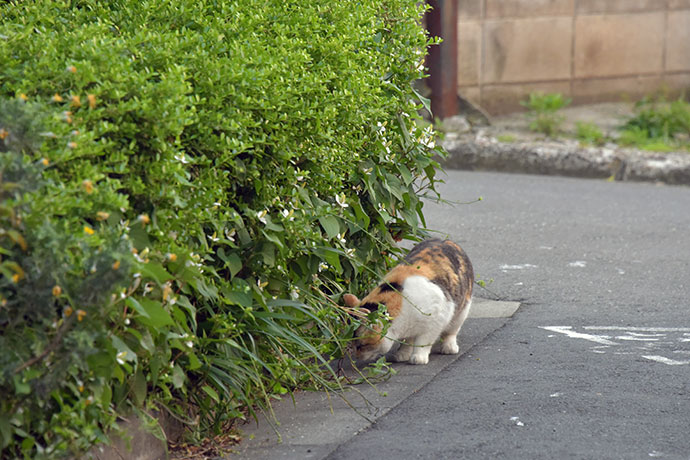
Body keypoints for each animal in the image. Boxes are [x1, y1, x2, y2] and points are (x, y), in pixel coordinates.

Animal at [342, 239, 470, 364]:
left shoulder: (437, 318)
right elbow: (407, 341)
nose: (357, 356)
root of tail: (447, 241)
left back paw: (449, 347)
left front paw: (418, 358)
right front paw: (402, 354)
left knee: (451, 331)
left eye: (361, 346)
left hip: (461, 312)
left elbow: (424, 341)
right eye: (352, 344)